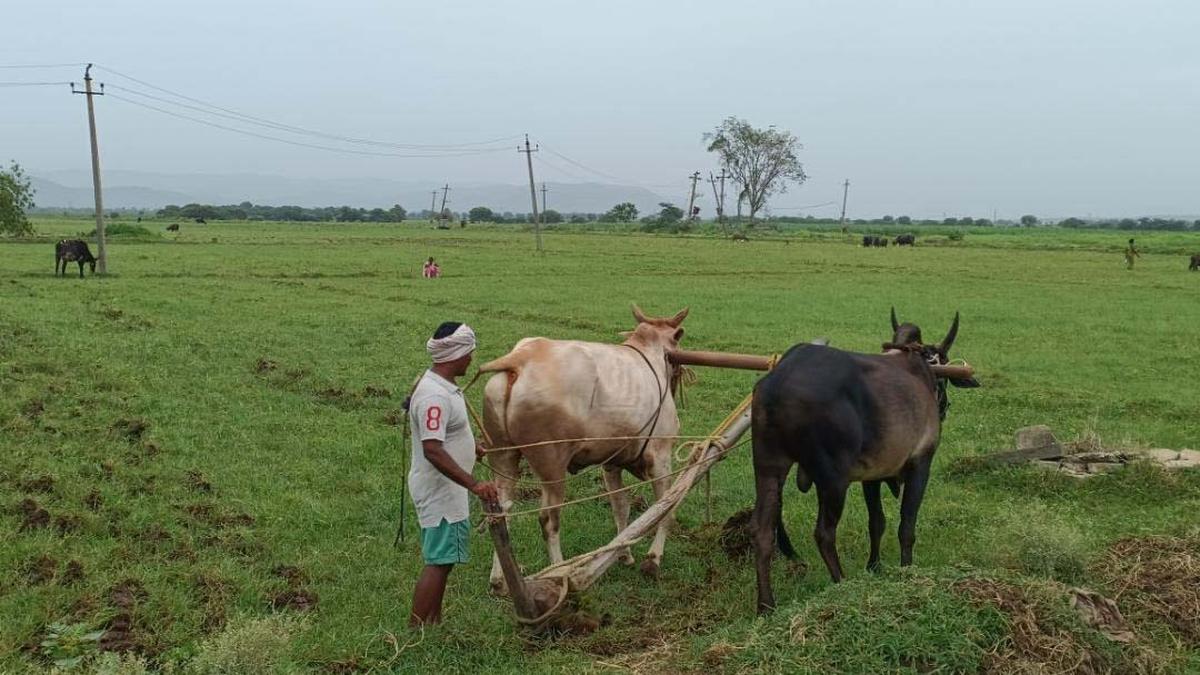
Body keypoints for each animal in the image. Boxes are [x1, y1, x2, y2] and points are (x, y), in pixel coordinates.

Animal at [475, 305, 686, 588]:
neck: (651, 353)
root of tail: (521, 358)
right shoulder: (661, 456)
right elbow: (665, 507)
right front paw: (653, 560)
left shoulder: (611, 463)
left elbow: (621, 507)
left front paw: (624, 554)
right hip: (552, 466)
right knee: (548, 520)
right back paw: (558, 573)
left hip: (503, 456)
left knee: (501, 514)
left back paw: (499, 581)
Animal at [753, 309, 979, 610]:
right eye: (942, 379)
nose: (944, 407)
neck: (920, 370)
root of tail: (778, 382)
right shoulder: (921, 463)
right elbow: (907, 525)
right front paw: (907, 572)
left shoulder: (872, 475)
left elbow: (877, 523)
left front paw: (875, 567)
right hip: (834, 480)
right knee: (824, 534)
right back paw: (841, 583)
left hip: (768, 467)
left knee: (763, 532)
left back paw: (766, 606)